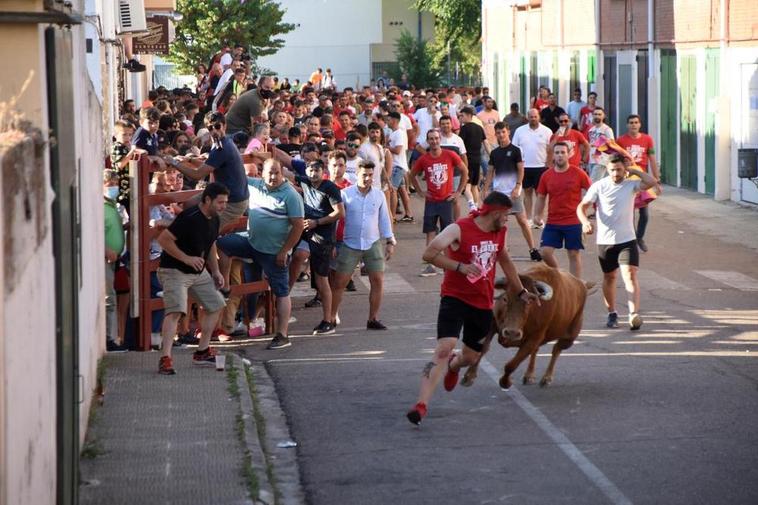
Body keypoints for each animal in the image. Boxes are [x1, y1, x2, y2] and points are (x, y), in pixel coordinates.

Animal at [460, 264, 596, 390]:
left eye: (529, 302)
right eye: (505, 298)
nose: (512, 333)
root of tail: (582, 284)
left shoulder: (534, 339)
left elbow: (511, 365)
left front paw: (505, 382)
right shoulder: (492, 325)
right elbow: (482, 349)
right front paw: (469, 376)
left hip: (569, 338)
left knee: (556, 350)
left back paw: (546, 378)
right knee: (538, 351)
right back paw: (529, 375)